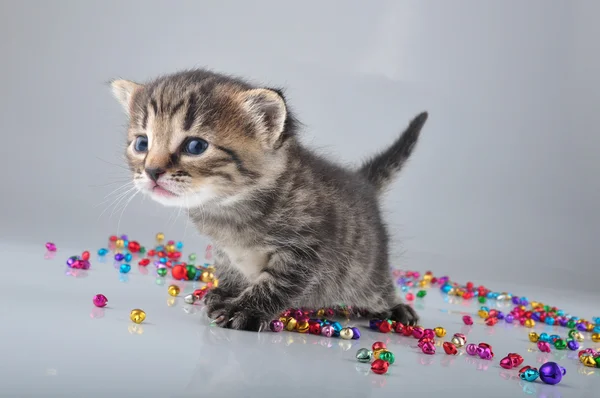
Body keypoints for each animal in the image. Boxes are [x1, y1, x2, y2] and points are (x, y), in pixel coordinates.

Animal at [109, 70, 426, 332]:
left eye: (195, 146)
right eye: (142, 143)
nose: (152, 171)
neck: (228, 210)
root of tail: (362, 184)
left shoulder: (306, 251)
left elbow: (275, 284)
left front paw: (244, 310)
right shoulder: (224, 250)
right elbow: (229, 269)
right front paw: (225, 292)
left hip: (366, 271)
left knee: (378, 288)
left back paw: (397, 308)